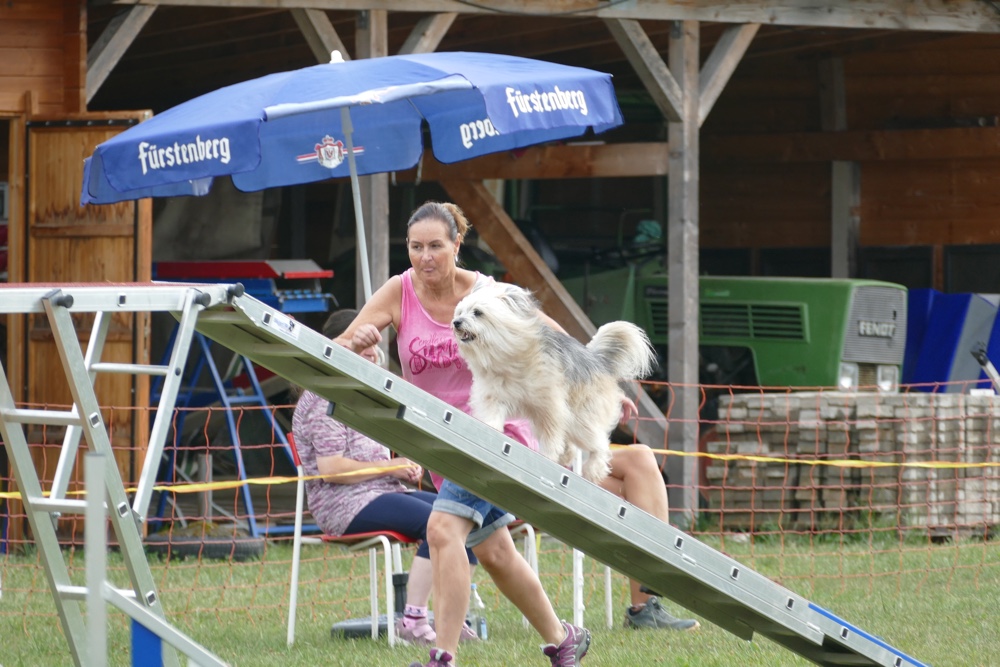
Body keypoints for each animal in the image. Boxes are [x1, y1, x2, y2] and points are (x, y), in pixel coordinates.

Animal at [452, 281, 656, 482]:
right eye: (460, 312)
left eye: (478, 312)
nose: (456, 322)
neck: (510, 355)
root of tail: (598, 359)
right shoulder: (493, 396)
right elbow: (492, 416)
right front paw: (490, 430)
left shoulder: (550, 407)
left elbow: (551, 436)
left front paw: (548, 457)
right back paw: (567, 456)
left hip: (582, 419)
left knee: (599, 444)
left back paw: (593, 469)